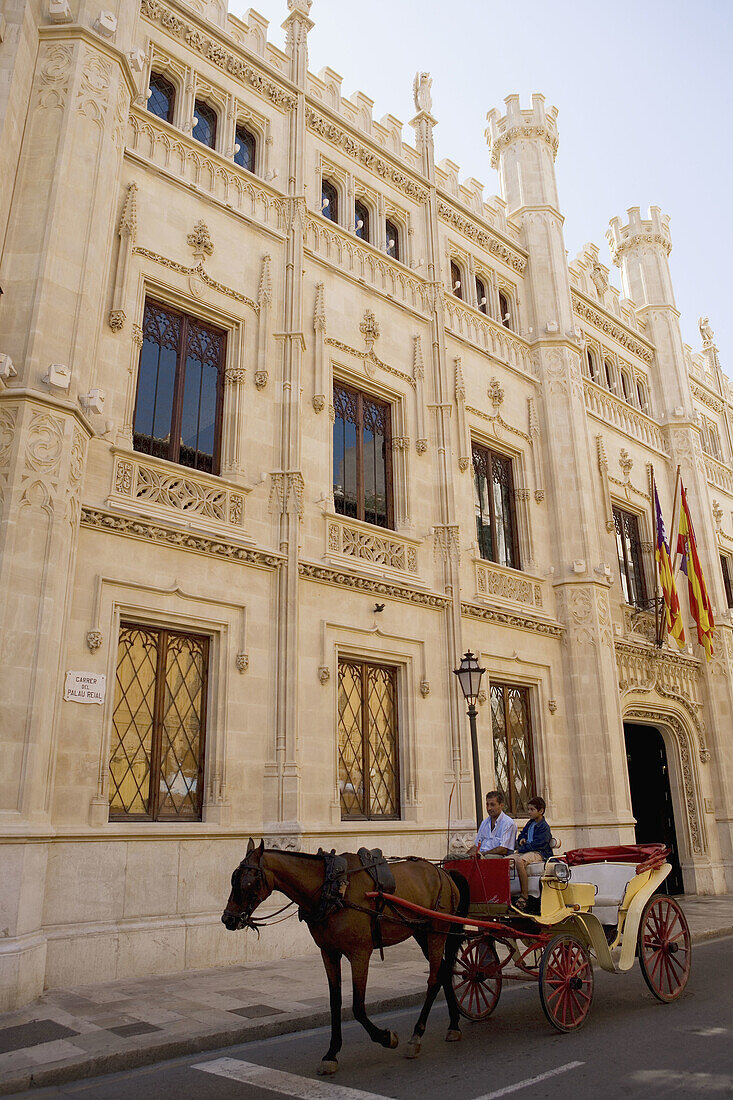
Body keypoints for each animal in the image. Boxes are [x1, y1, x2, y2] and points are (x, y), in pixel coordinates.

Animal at [220, 840, 464, 1073]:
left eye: (248, 881)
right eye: (233, 879)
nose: (228, 919)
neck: (331, 889)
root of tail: (442, 872)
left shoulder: (360, 953)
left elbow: (358, 1006)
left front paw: (386, 1037)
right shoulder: (329, 953)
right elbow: (335, 1002)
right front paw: (331, 1053)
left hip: (436, 932)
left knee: (433, 979)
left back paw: (416, 1036)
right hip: (421, 933)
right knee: (444, 972)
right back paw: (454, 1025)